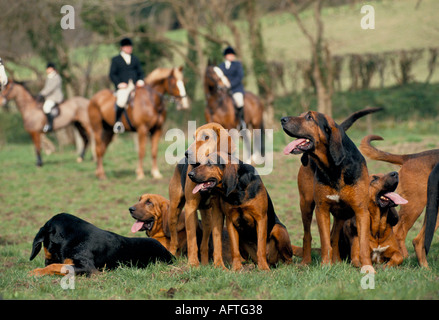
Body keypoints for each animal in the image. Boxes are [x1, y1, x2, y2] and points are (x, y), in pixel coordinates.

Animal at [28, 212, 174, 276]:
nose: (46, 261)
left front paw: (36, 271)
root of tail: (170, 254)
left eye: (46, 244)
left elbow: (56, 266)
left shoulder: (88, 268)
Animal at [168, 122, 237, 268]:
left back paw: (205, 263)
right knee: (174, 238)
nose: (186, 153)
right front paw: (193, 263)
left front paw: (219, 265)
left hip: (207, 218)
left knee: (204, 243)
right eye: (194, 137)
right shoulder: (190, 207)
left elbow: (217, 240)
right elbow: (192, 240)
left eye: (206, 137)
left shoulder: (217, 211)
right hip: (174, 210)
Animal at [282, 111, 374, 268]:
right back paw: (306, 261)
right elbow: (325, 242)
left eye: (309, 117)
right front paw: (325, 265)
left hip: (341, 214)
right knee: (307, 235)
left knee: (335, 236)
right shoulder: (322, 209)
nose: (282, 119)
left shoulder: (361, 211)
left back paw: (337, 260)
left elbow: (362, 244)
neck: (334, 167)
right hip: (306, 204)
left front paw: (368, 267)